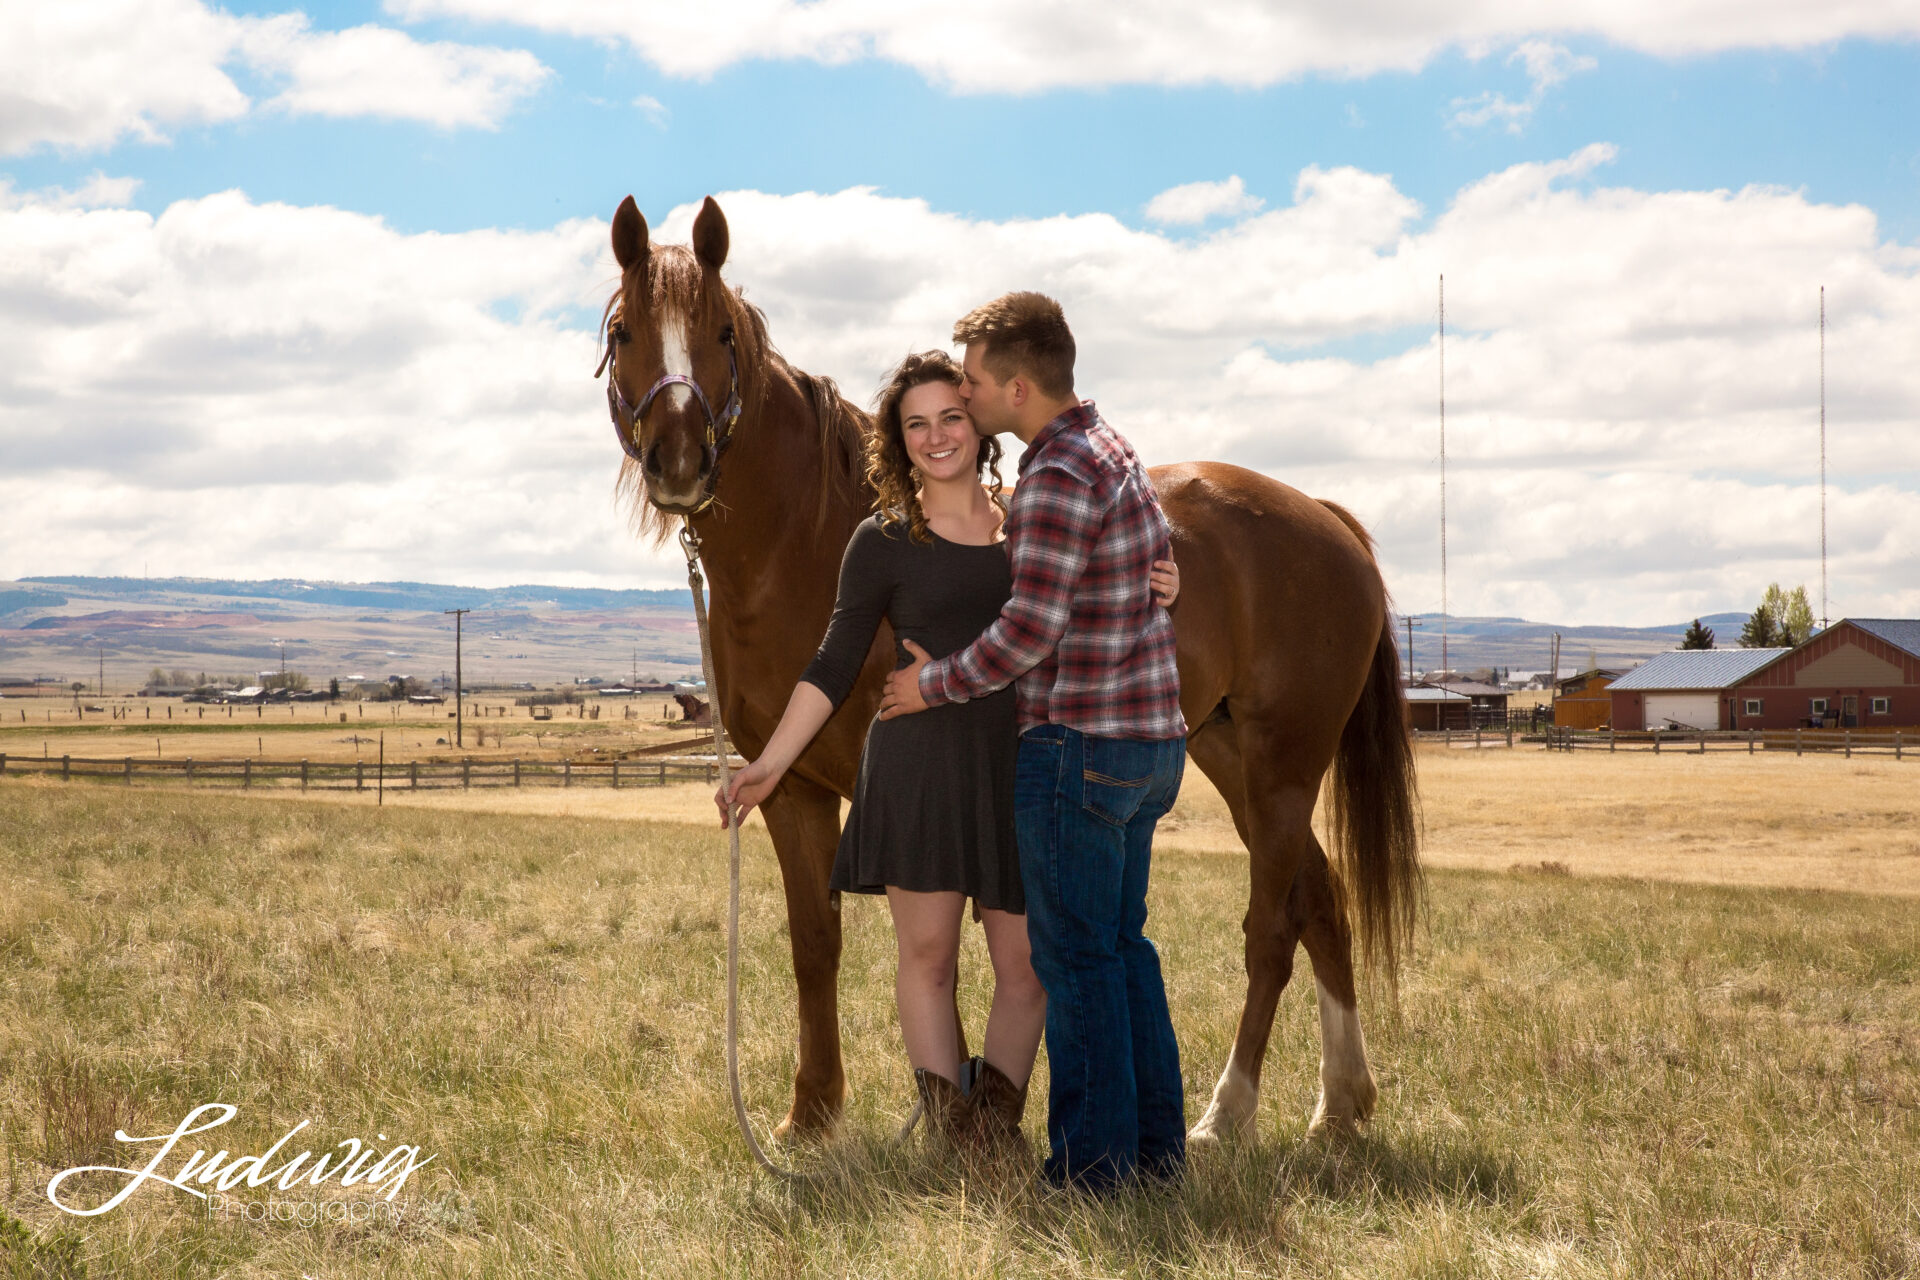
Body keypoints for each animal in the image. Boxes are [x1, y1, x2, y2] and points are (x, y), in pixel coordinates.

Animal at [599, 195, 1428, 1143]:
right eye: (624, 331)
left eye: (723, 331)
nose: (678, 460)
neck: (803, 548)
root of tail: (1325, 519)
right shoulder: (789, 787)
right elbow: (815, 943)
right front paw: (810, 1116)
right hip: (1231, 760)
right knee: (1321, 904)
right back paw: (1341, 1105)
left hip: (1284, 768)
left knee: (1272, 928)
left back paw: (1227, 1113)